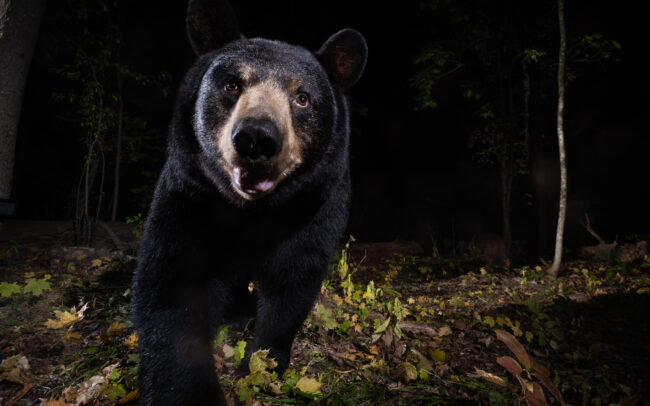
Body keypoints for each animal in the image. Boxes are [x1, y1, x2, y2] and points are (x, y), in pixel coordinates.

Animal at [130, 0, 367, 404]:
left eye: (302, 97)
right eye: (232, 84)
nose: (257, 138)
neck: (250, 212)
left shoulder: (314, 208)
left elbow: (292, 281)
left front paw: (261, 364)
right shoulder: (188, 197)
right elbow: (172, 285)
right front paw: (190, 391)